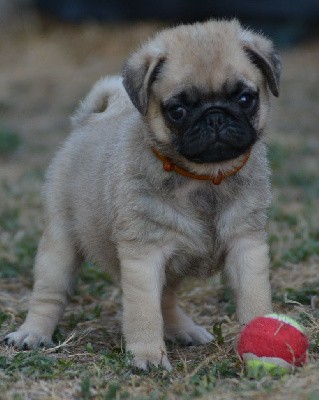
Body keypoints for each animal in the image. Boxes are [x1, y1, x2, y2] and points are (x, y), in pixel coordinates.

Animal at [4, 18, 280, 368]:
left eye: (245, 99)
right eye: (177, 110)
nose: (215, 115)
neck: (204, 178)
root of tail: (90, 121)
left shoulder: (247, 246)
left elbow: (254, 300)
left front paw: (263, 341)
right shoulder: (143, 256)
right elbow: (144, 313)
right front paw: (148, 355)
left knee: (166, 299)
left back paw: (183, 330)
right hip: (60, 244)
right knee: (50, 293)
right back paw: (33, 333)